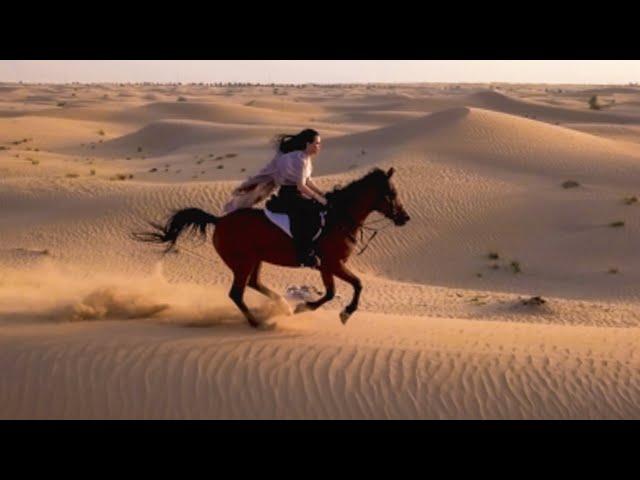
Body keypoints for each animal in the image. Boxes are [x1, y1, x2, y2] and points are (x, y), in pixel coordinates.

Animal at [135, 167, 410, 328]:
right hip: (243, 262)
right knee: (236, 293)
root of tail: (220, 220)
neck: (339, 217)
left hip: (255, 260)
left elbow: (332, 292)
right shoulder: (333, 263)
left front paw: (302, 308)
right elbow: (356, 285)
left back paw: (282, 306)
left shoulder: (327, 266)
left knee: (253, 284)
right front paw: (343, 312)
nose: (404, 218)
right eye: (391, 194)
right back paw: (258, 322)